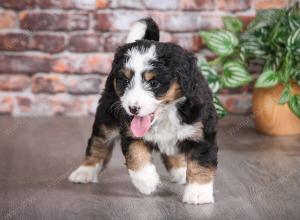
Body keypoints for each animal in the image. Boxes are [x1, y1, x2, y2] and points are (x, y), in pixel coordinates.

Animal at [69, 17, 219, 205]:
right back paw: (84, 171)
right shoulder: (130, 130)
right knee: (98, 143)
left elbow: (201, 163)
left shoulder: (201, 133)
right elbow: (136, 155)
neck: (166, 114)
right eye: (125, 81)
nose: (133, 109)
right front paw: (147, 182)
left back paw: (180, 170)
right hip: (107, 117)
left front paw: (198, 193)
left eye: (154, 83)